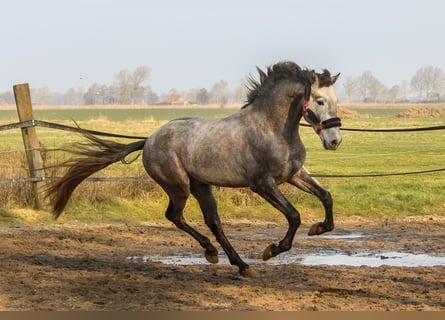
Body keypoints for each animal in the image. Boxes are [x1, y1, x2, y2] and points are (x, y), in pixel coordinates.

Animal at [46, 61, 342, 276]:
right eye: (319, 100)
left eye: (335, 100)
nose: (335, 141)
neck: (273, 128)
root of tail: (149, 140)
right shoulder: (262, 184)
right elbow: (293, 215)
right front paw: (271, 250)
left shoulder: (294, 175)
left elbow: (326, 196)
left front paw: (319, 228)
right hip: (179, 187)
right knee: (175, 216)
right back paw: (215, 254)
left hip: (202, 186)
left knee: (214, 223)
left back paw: (239, 265)